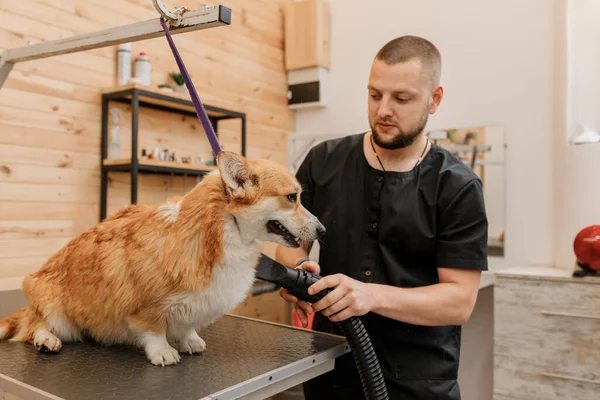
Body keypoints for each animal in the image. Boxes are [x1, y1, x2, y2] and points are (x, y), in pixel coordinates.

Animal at [0, 152, 324, 366]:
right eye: (292, 197)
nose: (323, 230)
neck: (223, 230)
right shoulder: (145, 307)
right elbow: (153, 330)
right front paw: (164, 352)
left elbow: (186, 324)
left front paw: (189, 340)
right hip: (50, 303)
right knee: (34, 326)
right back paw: (47, 340)